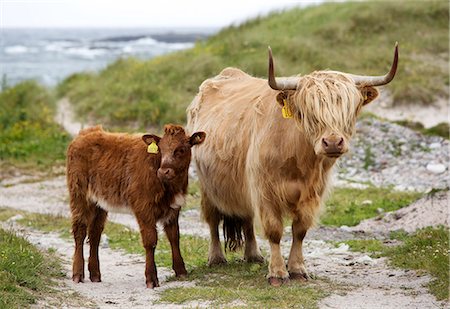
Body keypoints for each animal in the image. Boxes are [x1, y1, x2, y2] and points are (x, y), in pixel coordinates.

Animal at [66, 124, 207, 288]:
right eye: (161, 149)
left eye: (181, 149)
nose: (163, 171)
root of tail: (87, 132)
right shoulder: (143, 207)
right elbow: (150, 240)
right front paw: (151, 278)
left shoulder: (173, 208)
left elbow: (174, 237)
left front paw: (181, 271)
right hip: (79, 195)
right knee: (80, 231)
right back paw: (78, 274)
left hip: (99, 203)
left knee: (95, 233)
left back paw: (95, 274)